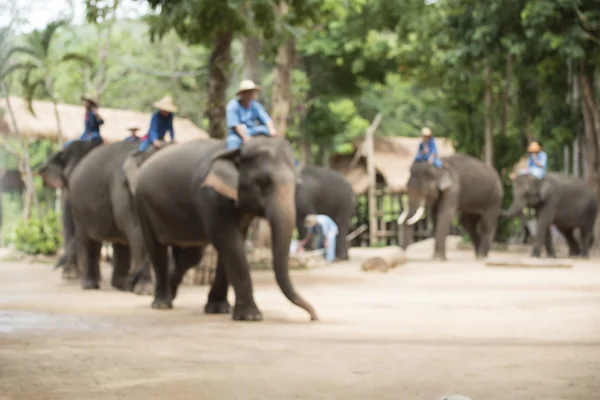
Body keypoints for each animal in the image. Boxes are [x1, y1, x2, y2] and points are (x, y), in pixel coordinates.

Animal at [39, 141, 154, 294]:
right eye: (65, 178)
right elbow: (137, 231)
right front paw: (145, 291)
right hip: (81, 207)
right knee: (88, 240)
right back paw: (90, 284)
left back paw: (122, 284)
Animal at [133, 138, 316, 322]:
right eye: (263, 182)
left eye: (296, 183)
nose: (313, 316)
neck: (236, 150)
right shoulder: (210, 197)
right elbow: (229, 242)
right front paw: (251, 316)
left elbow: (232, 244)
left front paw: (218, 309)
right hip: (143, 204)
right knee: (157, 250)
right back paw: (162, 303)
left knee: (190, 257)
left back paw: (171, 295)